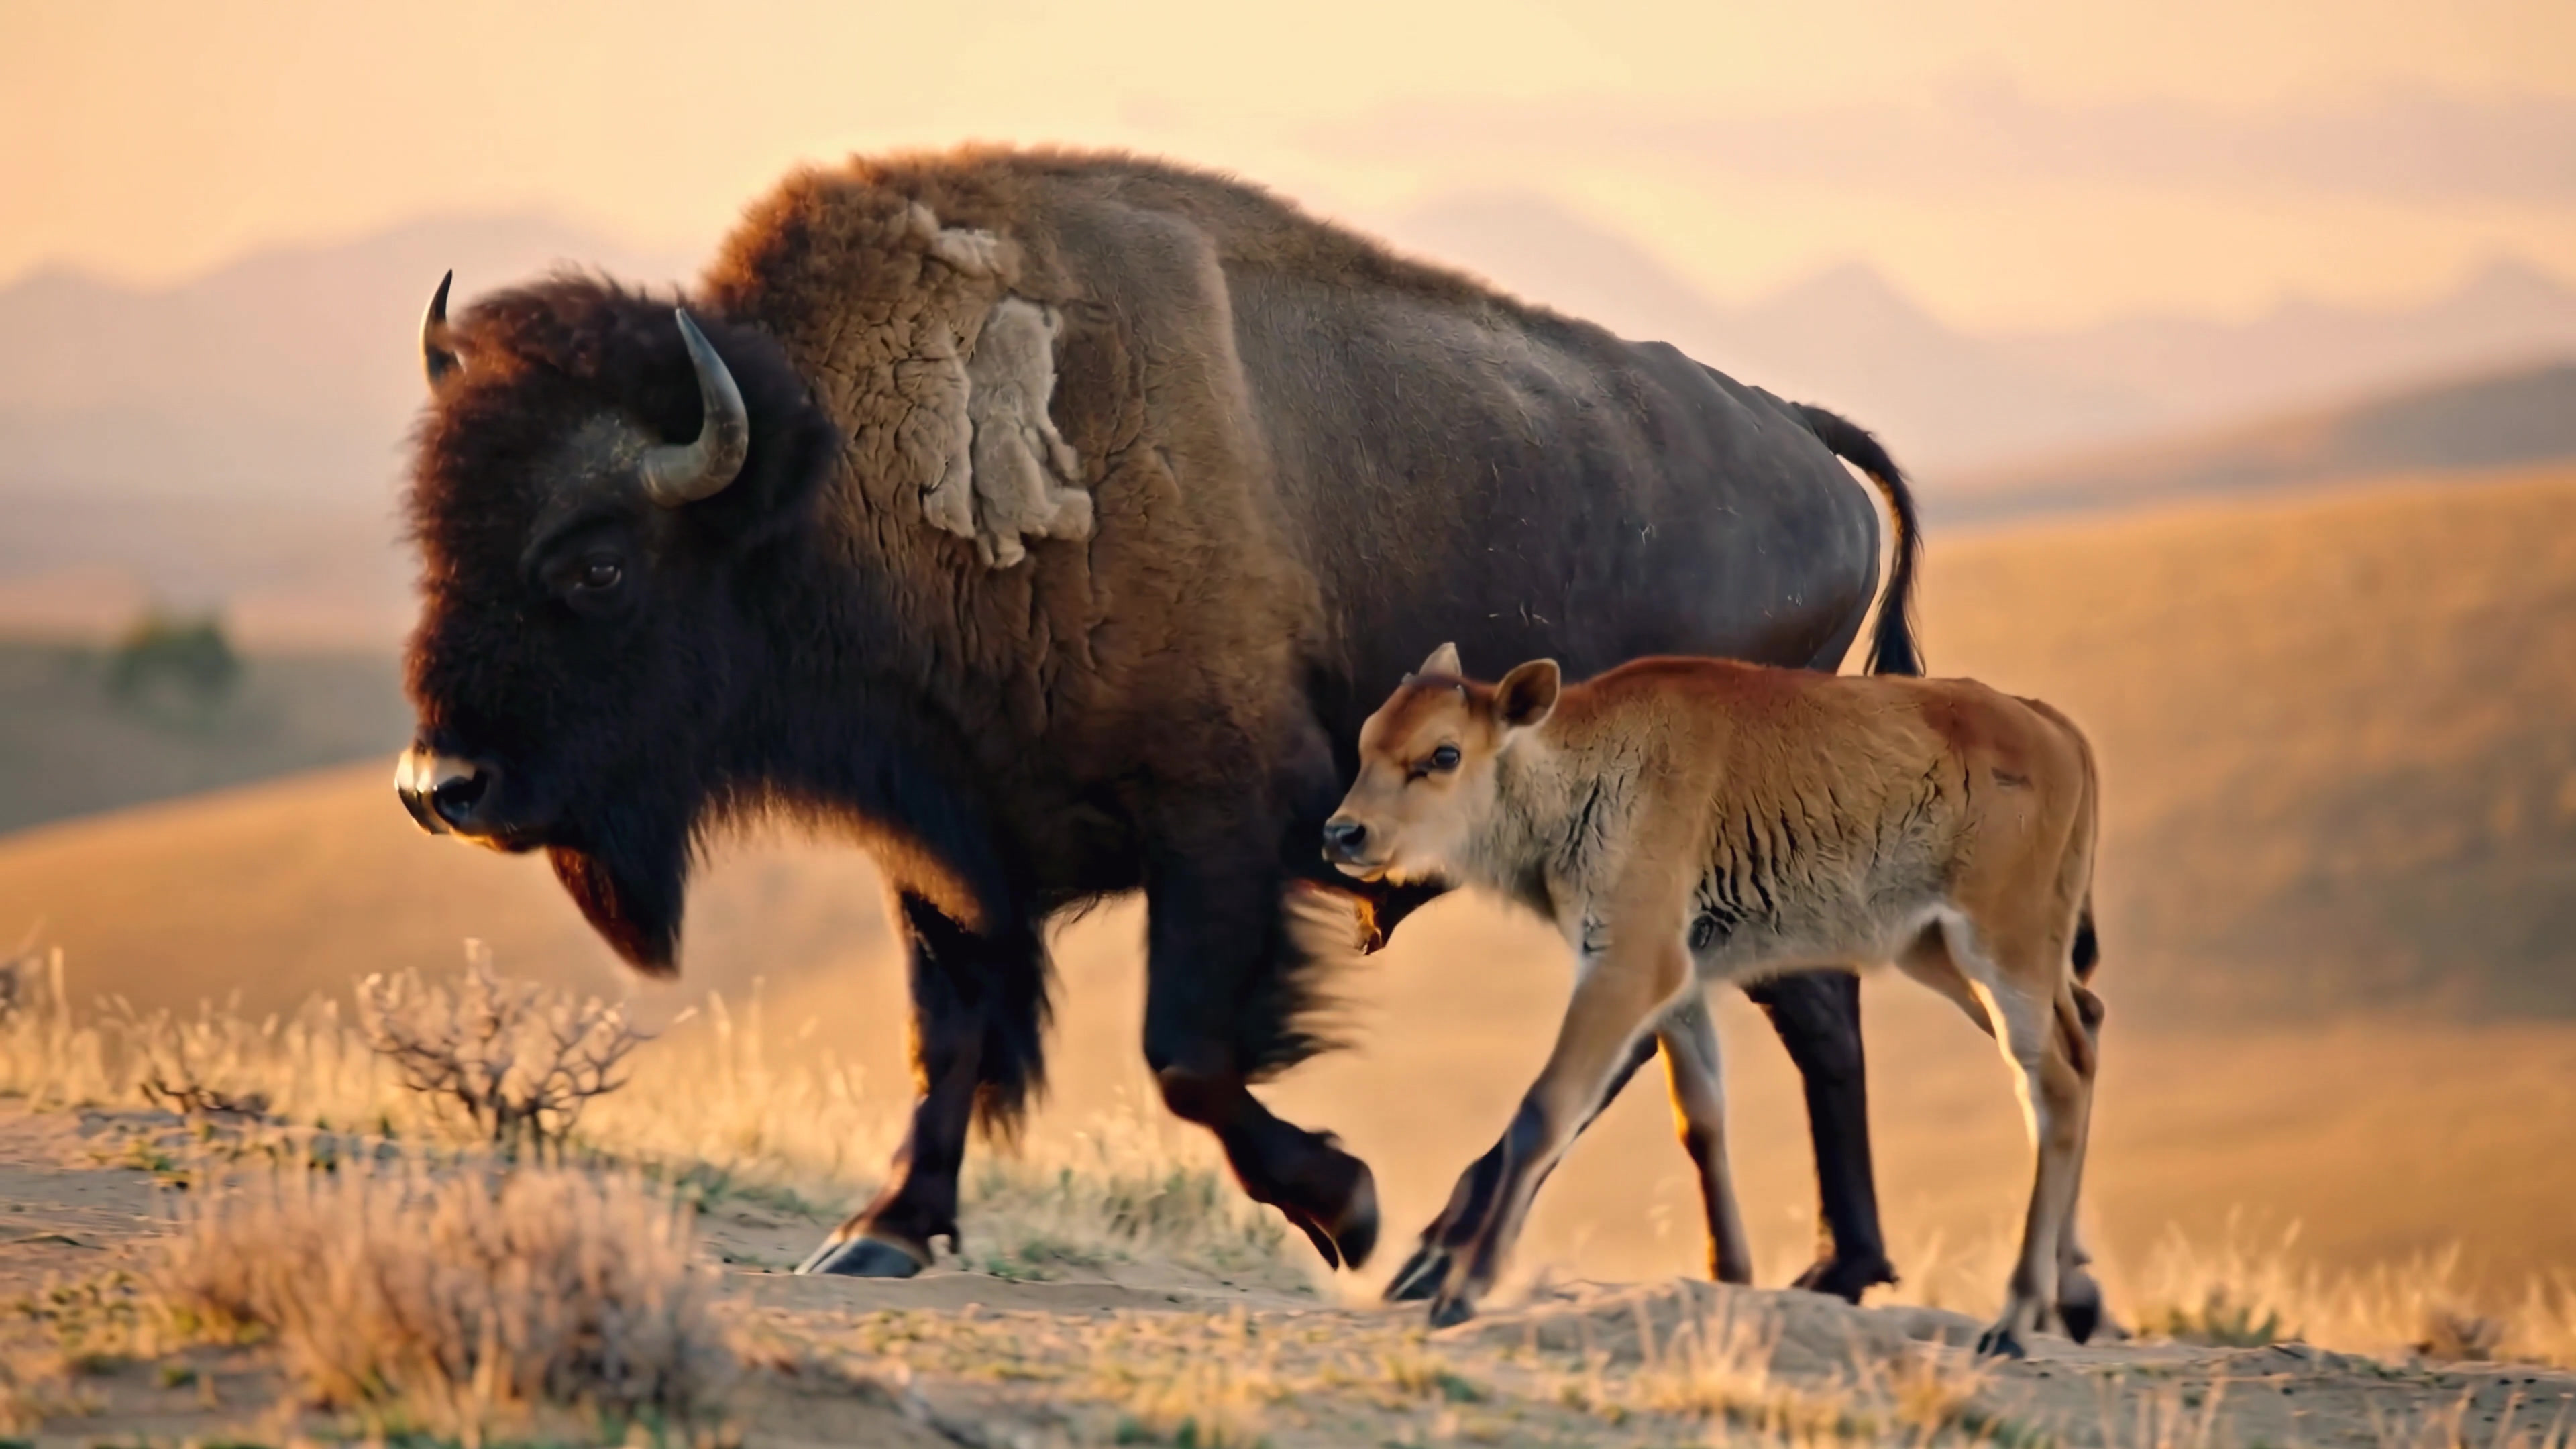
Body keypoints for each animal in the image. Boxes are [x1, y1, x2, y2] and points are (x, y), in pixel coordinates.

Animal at [391, 147, 1924, 1297]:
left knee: (1688, 1023)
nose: (437, 785)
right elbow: (950, 1035)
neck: (830, 477)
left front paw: (1344, 1207)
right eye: (434, 532)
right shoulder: (945, 850)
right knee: (1792, 1013)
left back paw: (1452, 1252)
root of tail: (1801, 436)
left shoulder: (1223, 824)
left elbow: (1185, 1055)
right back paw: (1827, 1269)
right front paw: (882, 1233)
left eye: (595, 564)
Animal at [1322, 646, 2106, 1350]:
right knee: (2081, 1040)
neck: (1578, 767)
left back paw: (2014, 1321)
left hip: (2002, 949)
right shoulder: (1683, 984)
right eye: (1368, 741)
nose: (1343, 832)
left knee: (2052, 1085)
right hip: (1939, 952)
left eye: (1444, 754)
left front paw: (1461, 1290)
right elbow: (1699, 1117)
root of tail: (2057, 730)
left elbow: (1545, 1110)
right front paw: (1730, 1278)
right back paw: (2061, 1301)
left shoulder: (1629, 965)